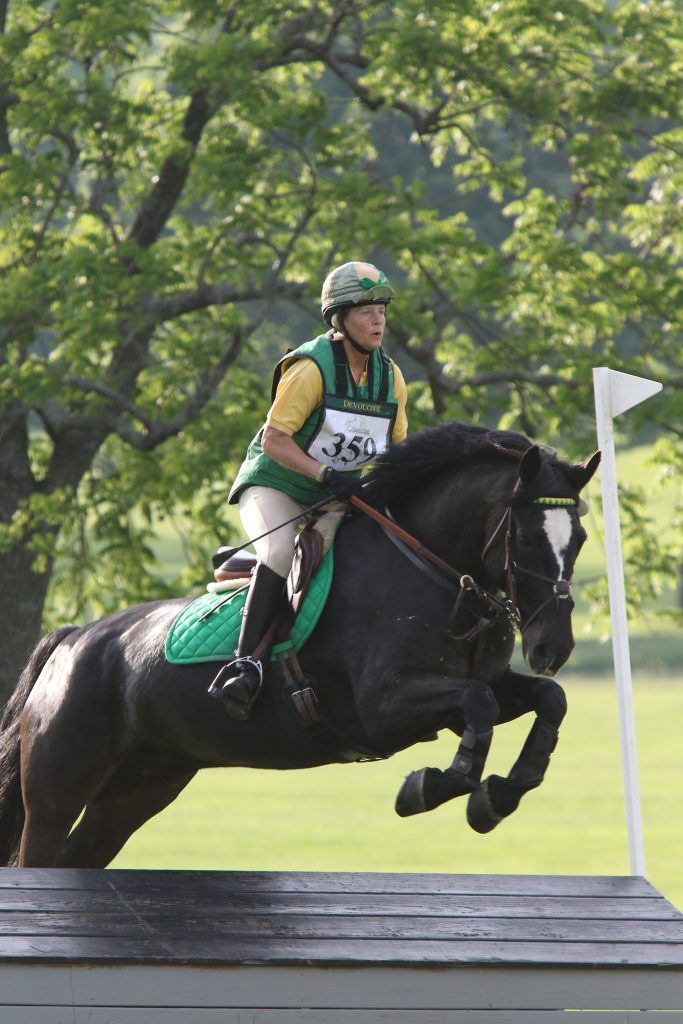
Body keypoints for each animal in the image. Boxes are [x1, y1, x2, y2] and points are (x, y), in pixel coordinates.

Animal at [0, 421, 600, 868]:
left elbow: (545, 700)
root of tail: (73, 638)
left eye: (581, 538)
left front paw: (497, 798)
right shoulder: (386, 706)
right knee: (38, 853)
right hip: (56, 792)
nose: (552, 648)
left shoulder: (472, 688)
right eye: (526, 537)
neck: (434, 571)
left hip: (140, 787)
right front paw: (424, 789)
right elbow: (478, 706)